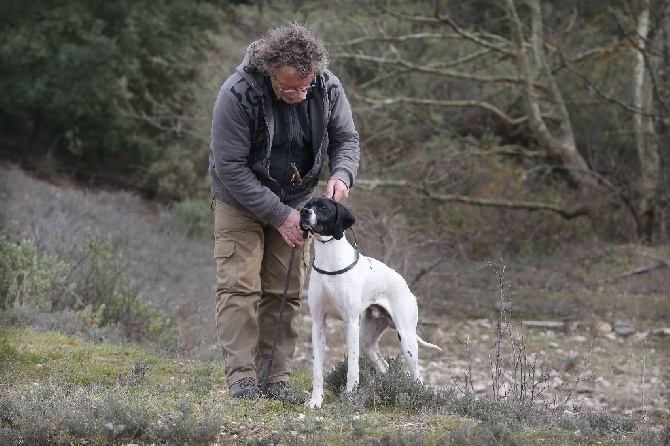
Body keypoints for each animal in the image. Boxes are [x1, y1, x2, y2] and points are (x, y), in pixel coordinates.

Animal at [300, 196, 440, 408]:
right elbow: (317, 369)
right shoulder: (318, 323)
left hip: (407, 340)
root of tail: (406, 286)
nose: (303, 212)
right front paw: (316, 400)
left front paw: (349, 399)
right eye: (308, 204)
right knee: (385, 366)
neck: (329, 260)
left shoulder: (350, 324)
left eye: (323, 207)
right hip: (367, 340)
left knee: (417, 377)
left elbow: (352, 369)